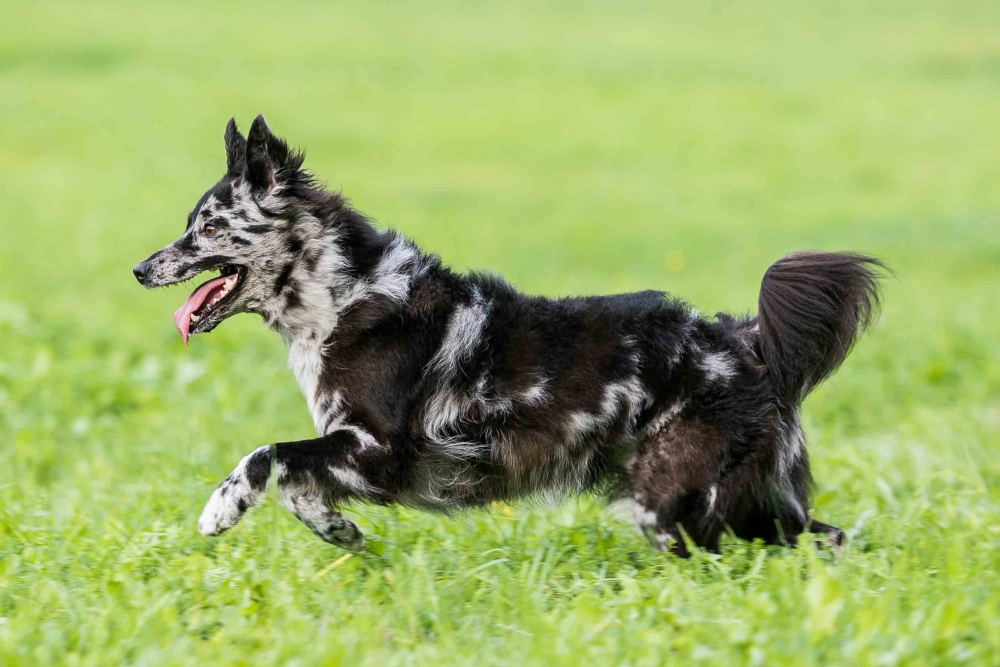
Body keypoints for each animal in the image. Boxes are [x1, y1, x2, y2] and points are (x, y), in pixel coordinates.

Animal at [133, 117, 884, 556]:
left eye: (205, 228)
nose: (140, 269)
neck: (343, 293)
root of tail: (744, 339)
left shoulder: (380, 450)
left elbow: (268, 455)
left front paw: (220, 509)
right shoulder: (355, 456)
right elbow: (297, 482)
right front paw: (340, 531)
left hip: (675, 502)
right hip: (741, 503)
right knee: (826, 536)